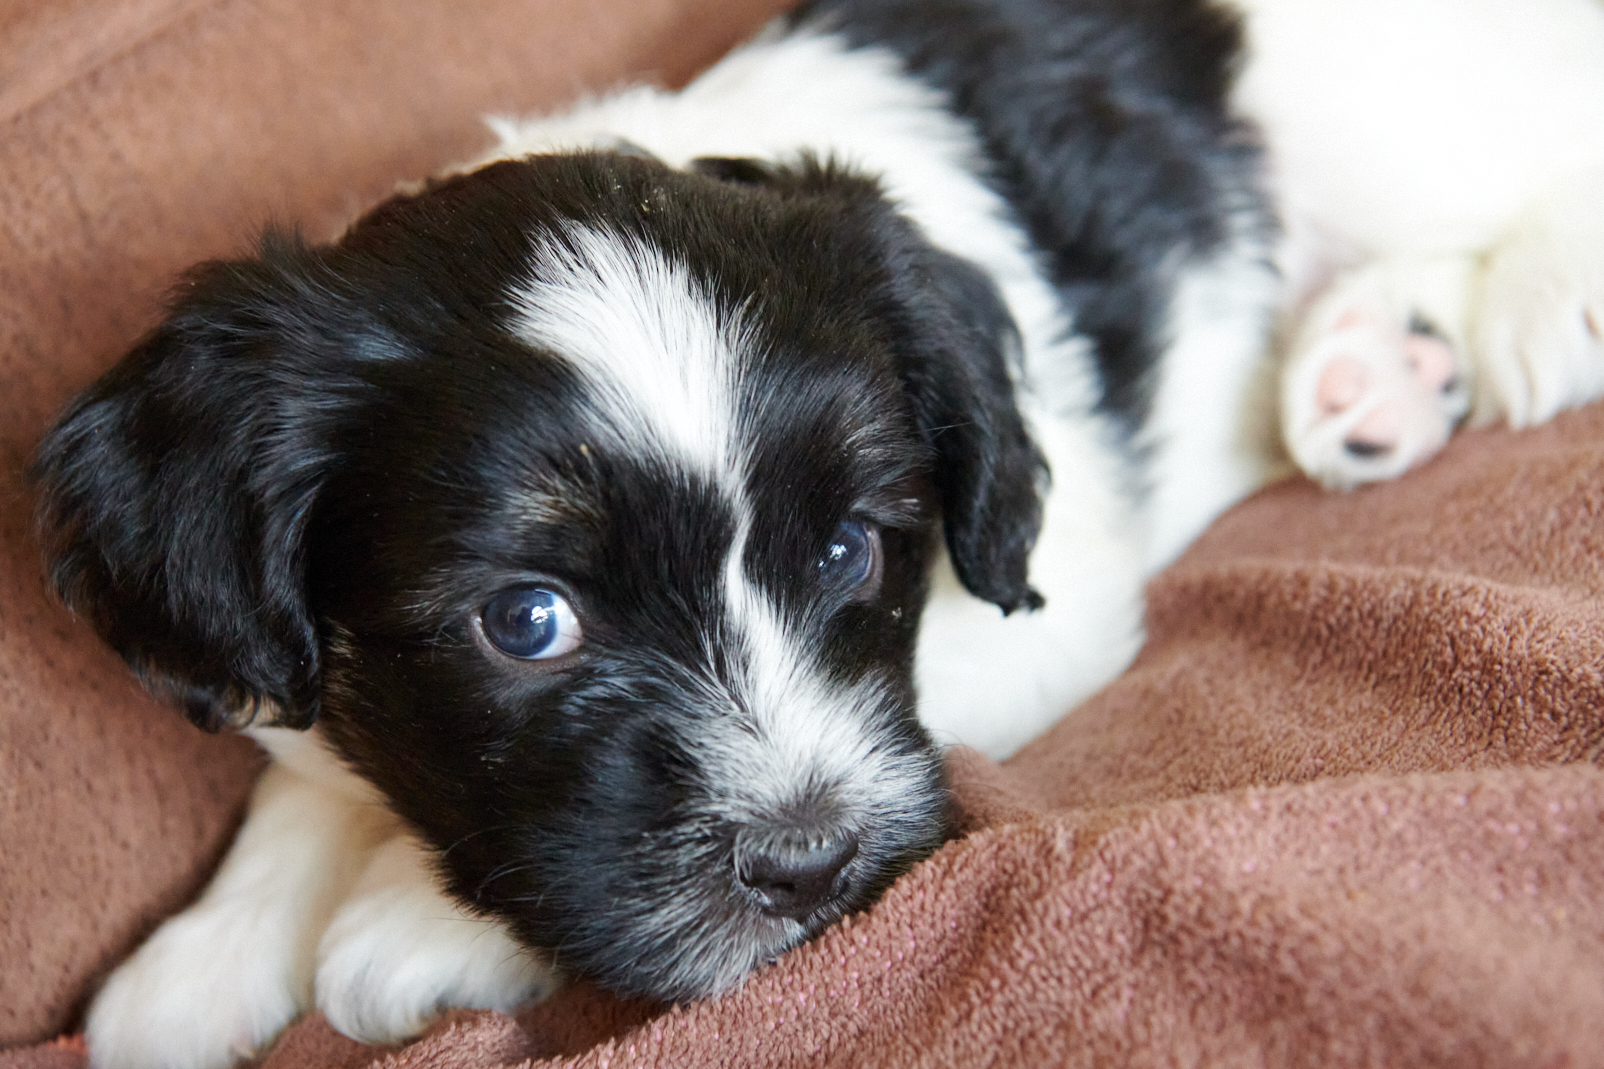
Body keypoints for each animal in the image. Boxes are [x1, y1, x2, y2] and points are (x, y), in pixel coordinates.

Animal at [34, 2, 1604, 1065]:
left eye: (852, 552)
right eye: (528, 622)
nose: (805, 869)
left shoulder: (1043, 605)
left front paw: (412, 925)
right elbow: (311, 769)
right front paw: (210, 952)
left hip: (1380, 126)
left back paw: (1533, 304)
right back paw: (1376, 371)